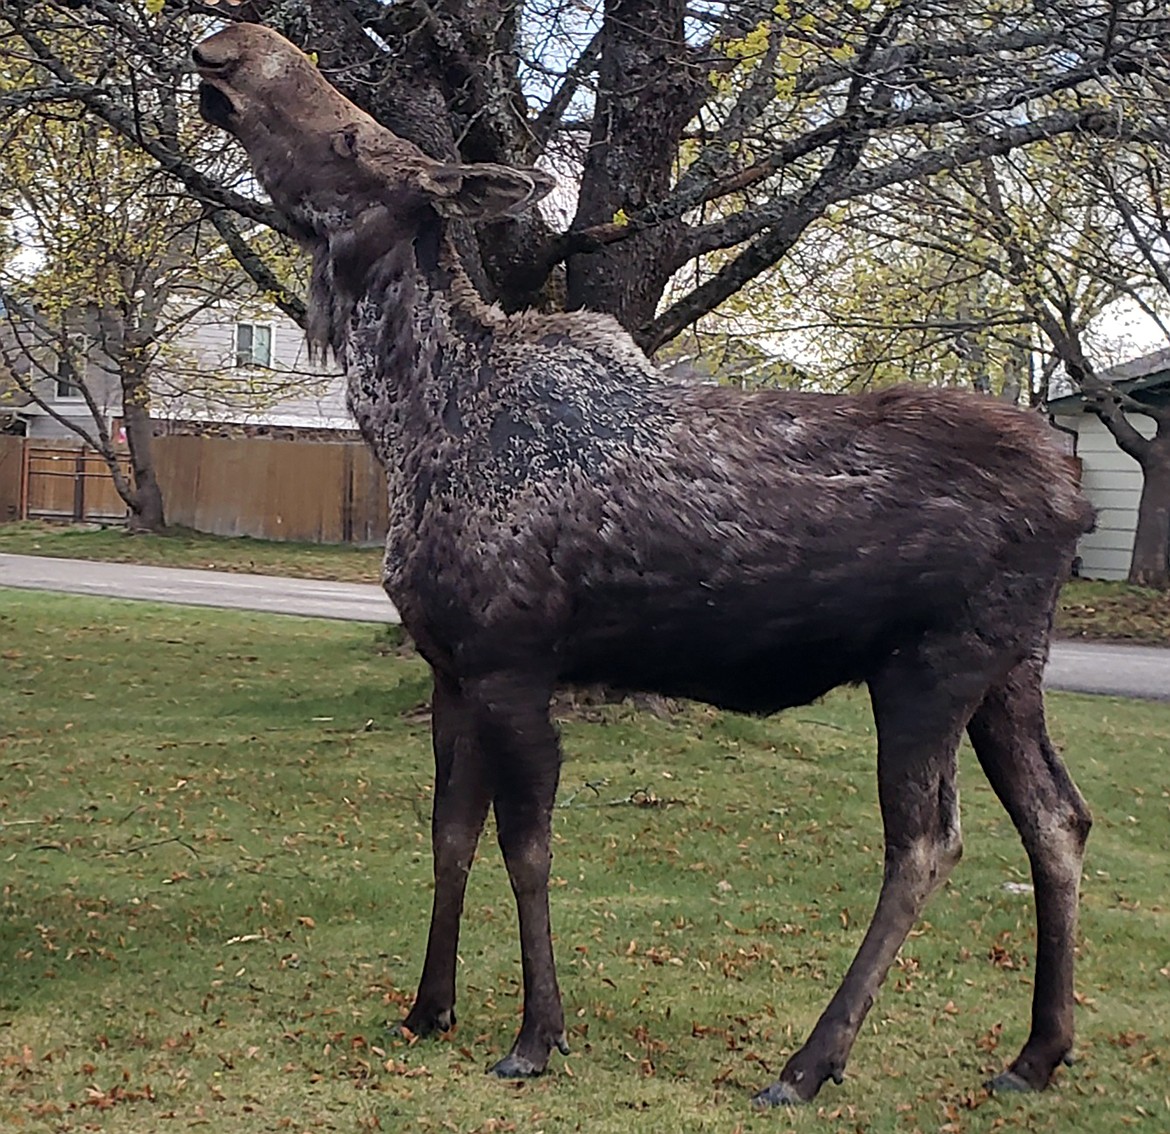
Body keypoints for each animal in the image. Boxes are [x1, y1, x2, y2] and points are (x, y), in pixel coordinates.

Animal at [194, 24, 1095, 1104]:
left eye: (354, 142)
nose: (230, 48)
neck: (411, 430)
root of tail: (1077, 492)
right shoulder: (451, 666)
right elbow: (448, 835)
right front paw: (427, 1007)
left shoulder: (514, 661)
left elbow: (526, 847)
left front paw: (536, 1034)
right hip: (1013, 668)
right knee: (1058, 818)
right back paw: (1037, 1053)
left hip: (931, 664)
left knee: (927, 841)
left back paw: (810, 1061)